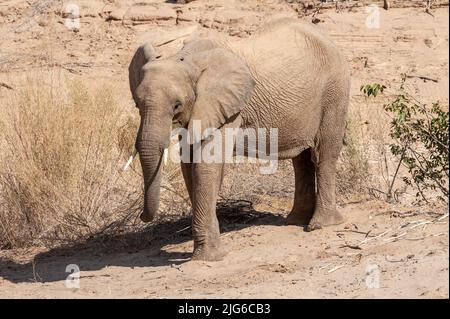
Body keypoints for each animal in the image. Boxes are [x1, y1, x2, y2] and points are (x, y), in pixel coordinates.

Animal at [128, 18, 350, 262]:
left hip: (335, 91)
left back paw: (320, 225)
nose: (141, 216)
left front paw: (210, 257)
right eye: (137, 104)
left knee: (323, 154)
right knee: (301, 160)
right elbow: (189, 165)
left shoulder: (229, 107)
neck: (186, 57)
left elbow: (205, 165)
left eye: (177, 104)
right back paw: (295, 221)